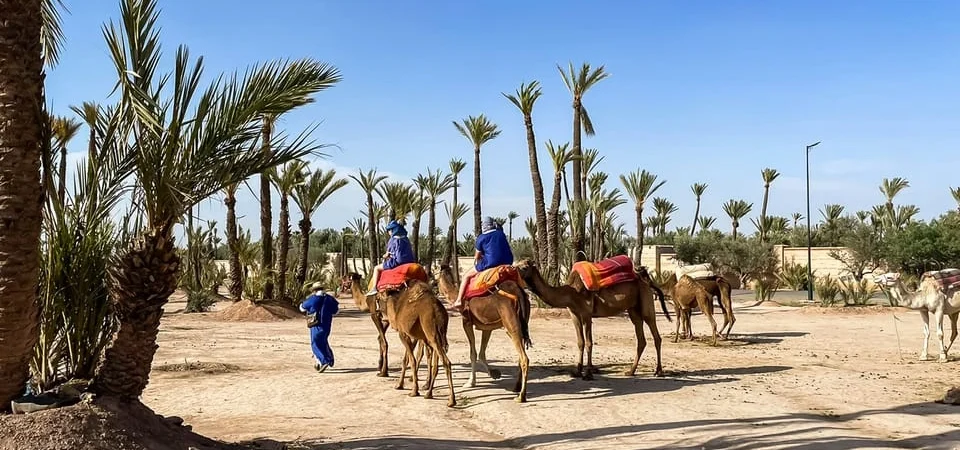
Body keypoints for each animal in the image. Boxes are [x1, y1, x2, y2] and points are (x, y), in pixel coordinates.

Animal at [436, 266, 532, 402]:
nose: (433, 288)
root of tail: (518, 291)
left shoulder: (466, 322)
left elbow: (473, 353)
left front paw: (470, 382)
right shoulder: (487, 327)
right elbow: (481, 353)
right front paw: (494, 373)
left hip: (511, 323)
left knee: (524, 358)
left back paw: (521, 396)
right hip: (522, 322)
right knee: (521, 355)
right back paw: (516, 388)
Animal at [516, 260, 668, 380]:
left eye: (524, 267)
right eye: (516, 264)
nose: (513, 269)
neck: (570, 292)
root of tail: (647, 280)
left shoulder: (586, 314)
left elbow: (589, 343)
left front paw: (588, 374)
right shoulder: (574, 314)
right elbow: (580, 342)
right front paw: (577, 372)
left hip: (646, 303)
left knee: (656, 336)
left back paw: (658, 371)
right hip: (633, 309)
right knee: (641, 339)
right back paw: (630, 371)